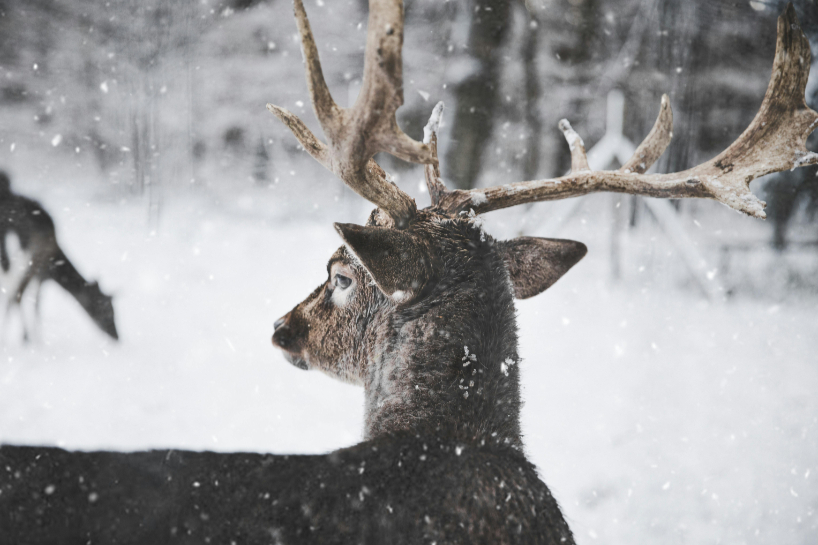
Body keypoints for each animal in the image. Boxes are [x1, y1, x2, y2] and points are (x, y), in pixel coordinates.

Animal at [0, 171, 118, 340]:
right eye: (106, 309)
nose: (117, 337)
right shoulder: (37, 268)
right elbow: (29, 302)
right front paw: (33, 339)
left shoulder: (39, 275)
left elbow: (30, 301)